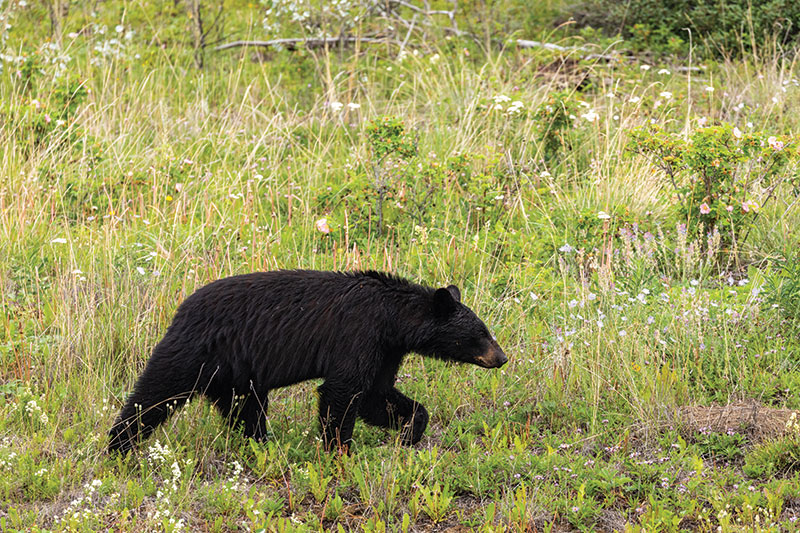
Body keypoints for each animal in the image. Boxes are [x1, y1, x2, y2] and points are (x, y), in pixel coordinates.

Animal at [108, 270, 507, 453]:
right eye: (480, 334)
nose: (502, 358)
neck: (392, 319)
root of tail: (180, 310)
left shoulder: (386, 350)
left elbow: (376, 394)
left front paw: (411, 429)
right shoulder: (359, 333)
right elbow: (344, 391)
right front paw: (339, 449)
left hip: (237, 375)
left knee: (245, 409)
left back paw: (260, 444)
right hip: (195, 352)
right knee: (154, 394)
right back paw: (119, 446)